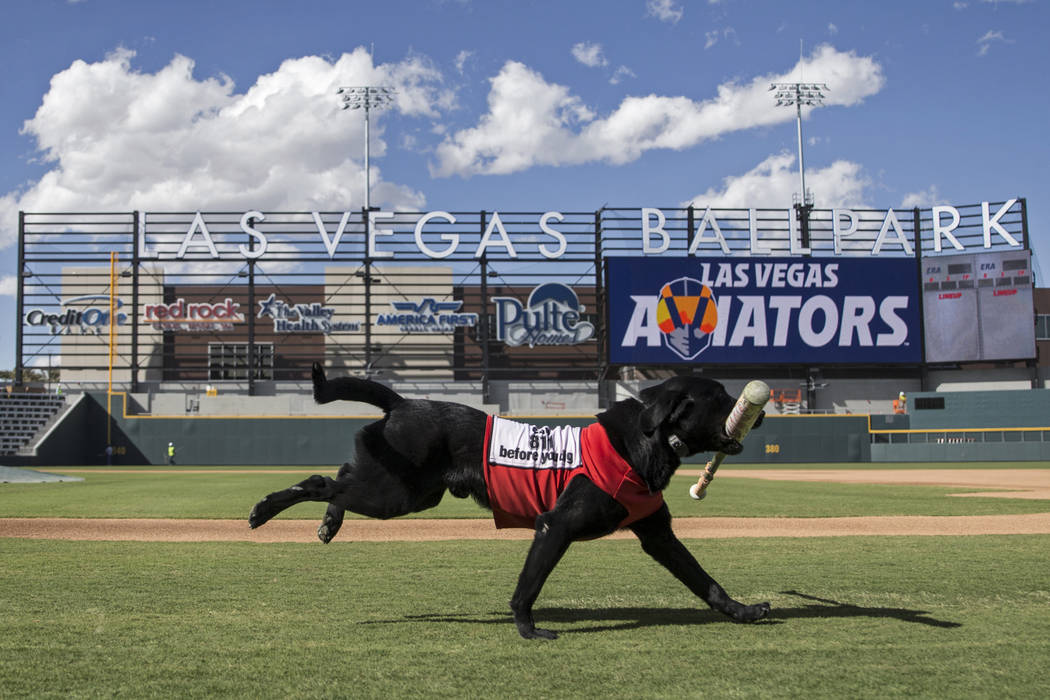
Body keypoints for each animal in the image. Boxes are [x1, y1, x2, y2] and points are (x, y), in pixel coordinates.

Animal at [248, 365, 768, 638]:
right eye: (720, 398)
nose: (759, 412)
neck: (641, 444)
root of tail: (402, 402)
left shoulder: (658, 536)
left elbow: (705, 581)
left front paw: (742, 611)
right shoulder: (555, 527)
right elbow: (528, 587)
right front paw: (528, 630)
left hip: (406, 493)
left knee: (337, 475)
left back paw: (329, 524)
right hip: (395, 494)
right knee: (320, 481)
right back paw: (264, 510)